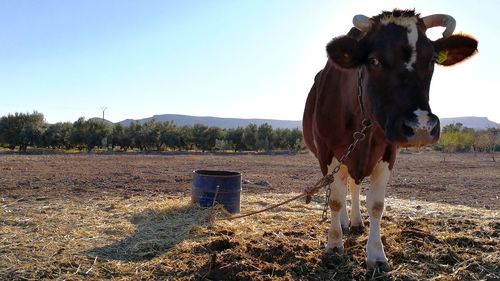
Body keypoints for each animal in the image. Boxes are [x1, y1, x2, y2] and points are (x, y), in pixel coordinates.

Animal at [302, 9, 478, 272]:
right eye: (374, 60)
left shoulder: (388, 152)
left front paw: (376, 255)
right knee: (341, 187)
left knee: (353, 185)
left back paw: (355, 222)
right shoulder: (327, 152)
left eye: (432, 60)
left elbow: (376, 205)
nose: (421, 126)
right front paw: (334, 245)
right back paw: (342, 223)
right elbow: (334, 200)